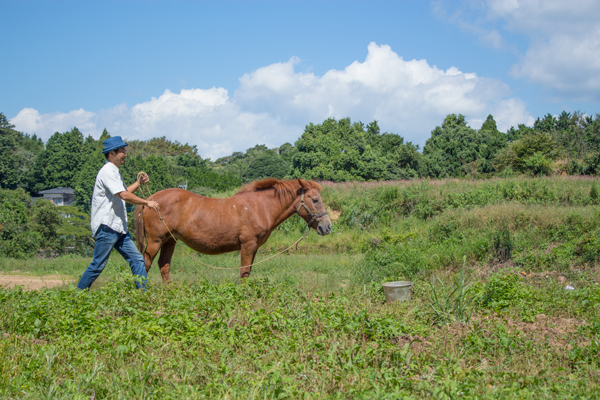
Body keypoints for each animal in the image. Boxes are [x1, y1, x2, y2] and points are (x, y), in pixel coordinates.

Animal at [134, 178, 332, 282]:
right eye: (315, 199)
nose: (327, 226)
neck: (260, 206)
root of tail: (148, 200)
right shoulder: (248, 244)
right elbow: (244, 273)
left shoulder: (254, 248)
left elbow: (248, 272)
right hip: (156, 240)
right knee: (146, 263)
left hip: (169, 240)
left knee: (164, 265)